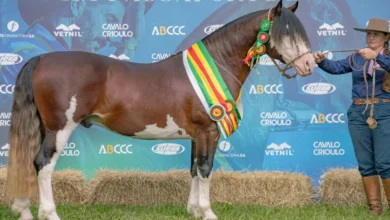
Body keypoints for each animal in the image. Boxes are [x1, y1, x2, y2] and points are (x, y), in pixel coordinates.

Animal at [6, 0, 316, 219]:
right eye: (285, 32)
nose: (309, 65)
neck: (216, 65)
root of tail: (42, 59)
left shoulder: (197, 135)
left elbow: (194, 169)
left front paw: (193, 210)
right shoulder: (209, 132)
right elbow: (206, 169)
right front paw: (208, 212)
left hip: (43, 127)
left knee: (29, 161)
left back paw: (24, 210)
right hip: (60, 129)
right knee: (43, 164)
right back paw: (50, 214)